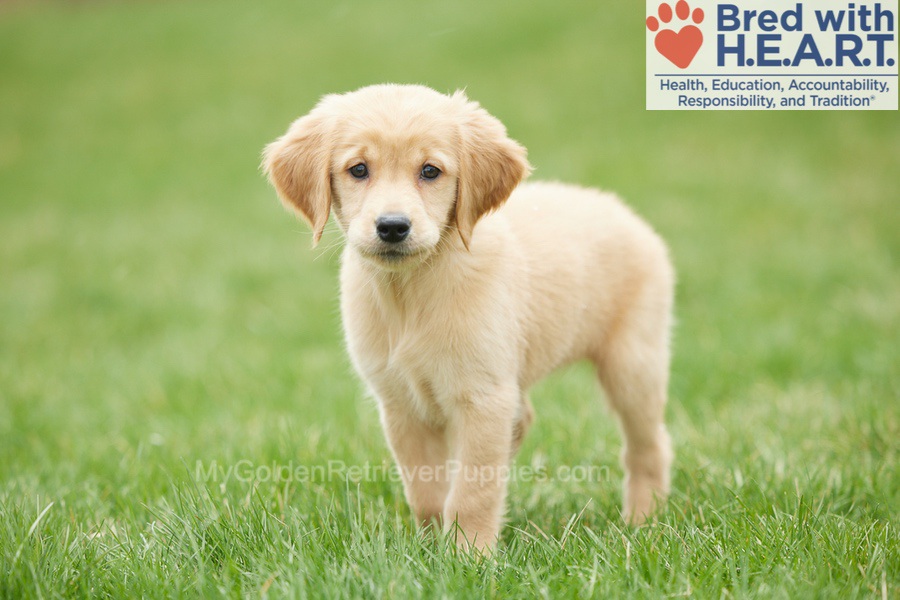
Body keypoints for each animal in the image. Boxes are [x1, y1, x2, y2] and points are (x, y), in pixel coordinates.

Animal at [264, 84, 672, 552]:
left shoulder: (482, 395)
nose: (392, 227)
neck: (410, 291)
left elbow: (473, 489)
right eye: (358, 169)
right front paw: (428, 548)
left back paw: (643, 521)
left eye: (430, 171)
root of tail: (623, 210)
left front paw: (470, 555)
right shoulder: (401, 402)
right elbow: (425, 487)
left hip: (633, 364)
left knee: (648, 445)